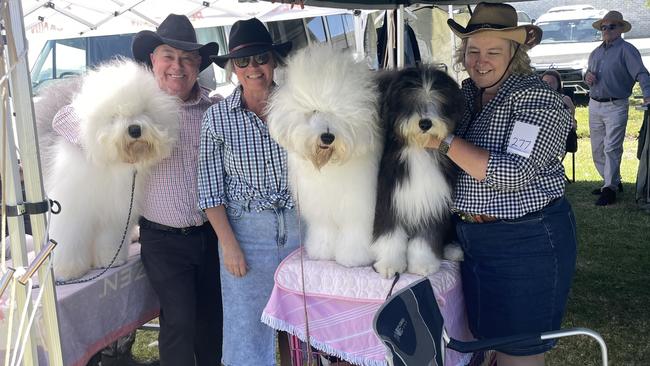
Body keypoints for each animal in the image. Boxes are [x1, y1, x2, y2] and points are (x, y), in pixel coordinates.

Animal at [37, 58, 180, 280]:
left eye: (144, 111)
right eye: (114, 116)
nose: (135, 130)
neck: (110, 165)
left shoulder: (117, 210)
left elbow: (109, 238)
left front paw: (110, 260)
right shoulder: (71, 208)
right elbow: (68, 238)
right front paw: (67, 271)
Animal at [268, 45, 382, 268]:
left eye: (339, 113)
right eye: (314, 110)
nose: (328, 137)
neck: (328, 166)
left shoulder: (358, 207)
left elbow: (355, 232)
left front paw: (353, 257)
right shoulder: (321, 207)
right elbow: (324, 230)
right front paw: (321, 252)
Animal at [372, 66, 464, 278]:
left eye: (438, 101)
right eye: (410, 100)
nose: (425, 124)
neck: (419, 149)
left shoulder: (432, 204)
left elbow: (425, 238)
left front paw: (423, 265)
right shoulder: (390, 200)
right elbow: (390, 236)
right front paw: (389, 265)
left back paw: (453, 250)